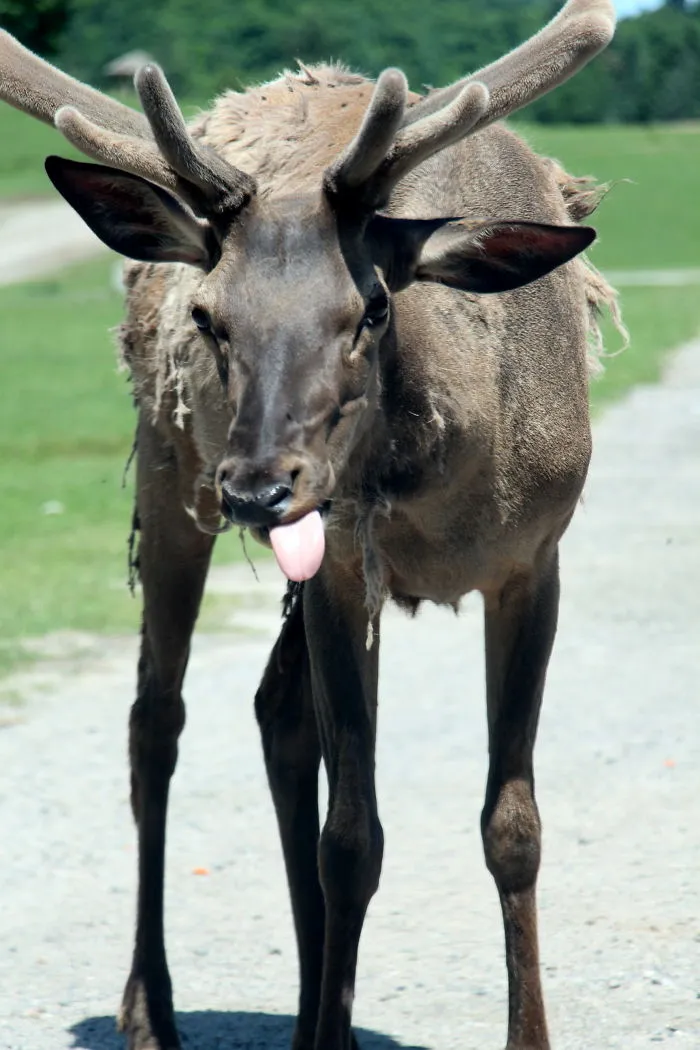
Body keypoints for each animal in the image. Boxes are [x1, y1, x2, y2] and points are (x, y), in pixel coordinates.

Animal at [0, 2, 622, 1048]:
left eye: (371, 308)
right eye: (208, 316)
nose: (257, 488)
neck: (443, 495)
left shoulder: (534, 559)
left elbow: (514, 826)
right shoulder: (341, 572)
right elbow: (352, 840)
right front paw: (326, 1018)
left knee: (276, 710)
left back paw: (298, 1004)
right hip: (168, 481)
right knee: (155, 719)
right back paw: (149, 1007)